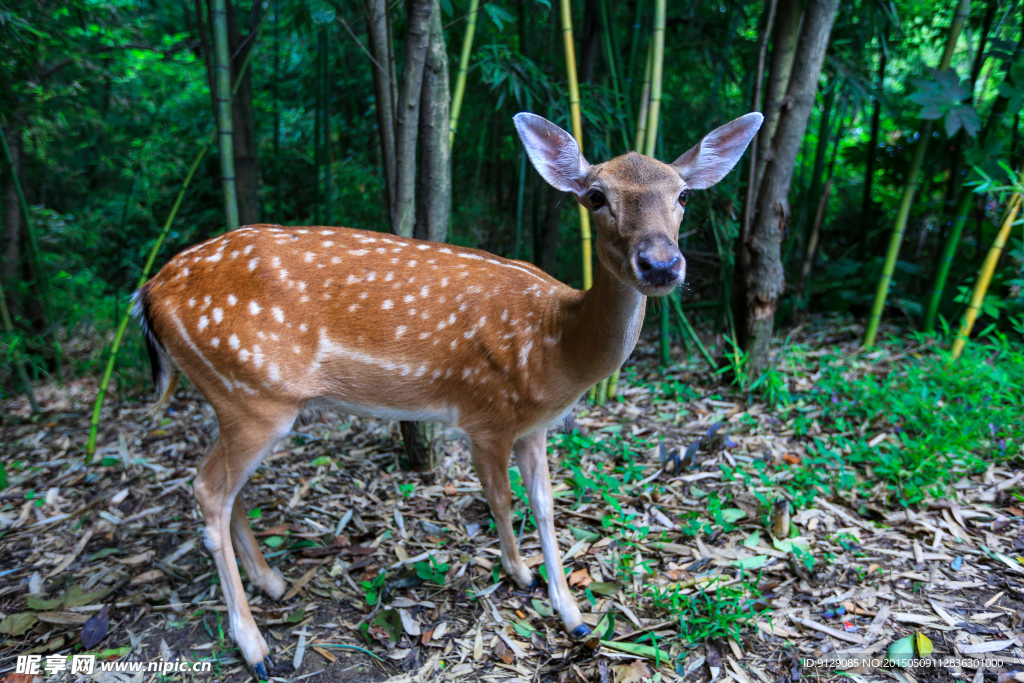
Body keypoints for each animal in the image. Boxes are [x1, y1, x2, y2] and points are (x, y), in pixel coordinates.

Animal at [134, 112, 761, 679]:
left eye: (683, 195)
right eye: (596, 196)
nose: (660, 264)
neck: (555, 348)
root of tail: (148, 294)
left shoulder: (535, 426)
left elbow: (546, 505)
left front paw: (574, 615)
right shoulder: (485, 415)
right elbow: (501, 499)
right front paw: (519, 574)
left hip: (238, 397)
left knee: (222, 487)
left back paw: (273, 582)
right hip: (254, 393)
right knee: (208, 490)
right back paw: (255, 647)